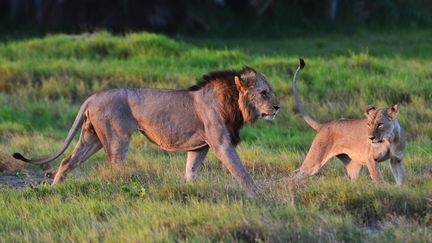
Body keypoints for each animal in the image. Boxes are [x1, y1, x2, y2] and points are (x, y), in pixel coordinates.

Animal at [12, 67, 280, 196]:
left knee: (67, 162)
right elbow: (241, 172)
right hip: (117, 138)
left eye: (271, 91)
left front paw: (186, 192)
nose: (278, 107)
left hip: (92, 138)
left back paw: (54, 189)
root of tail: (92, 97)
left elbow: (191, 173)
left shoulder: (199, 148)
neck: (234, 102)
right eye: (264, 92)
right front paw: (259, 196)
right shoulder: (221, 143)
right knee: (114, 168)